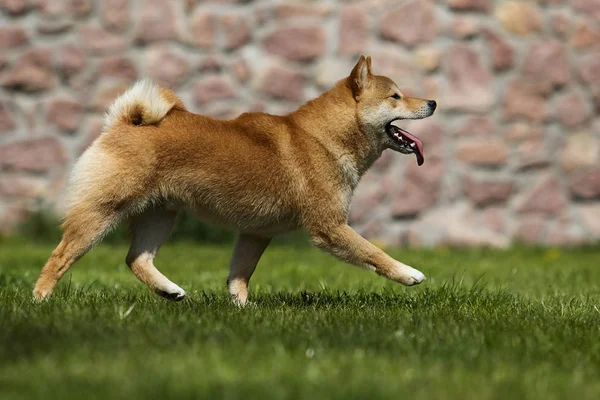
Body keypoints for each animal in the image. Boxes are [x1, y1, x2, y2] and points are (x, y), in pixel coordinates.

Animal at [32, 56, 436, 304]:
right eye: (396, 96)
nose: (432, 102)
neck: (323, 137)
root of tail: (123, 122)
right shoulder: (329, 226)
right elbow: (373, 252)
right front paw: (409, 273)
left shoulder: (256, 233)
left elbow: (239, 275)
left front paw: (243, 310)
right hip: (102, 212)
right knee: (60, 255)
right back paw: (41, 299)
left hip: (160, 214)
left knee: (136, 259)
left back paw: (169, 291)